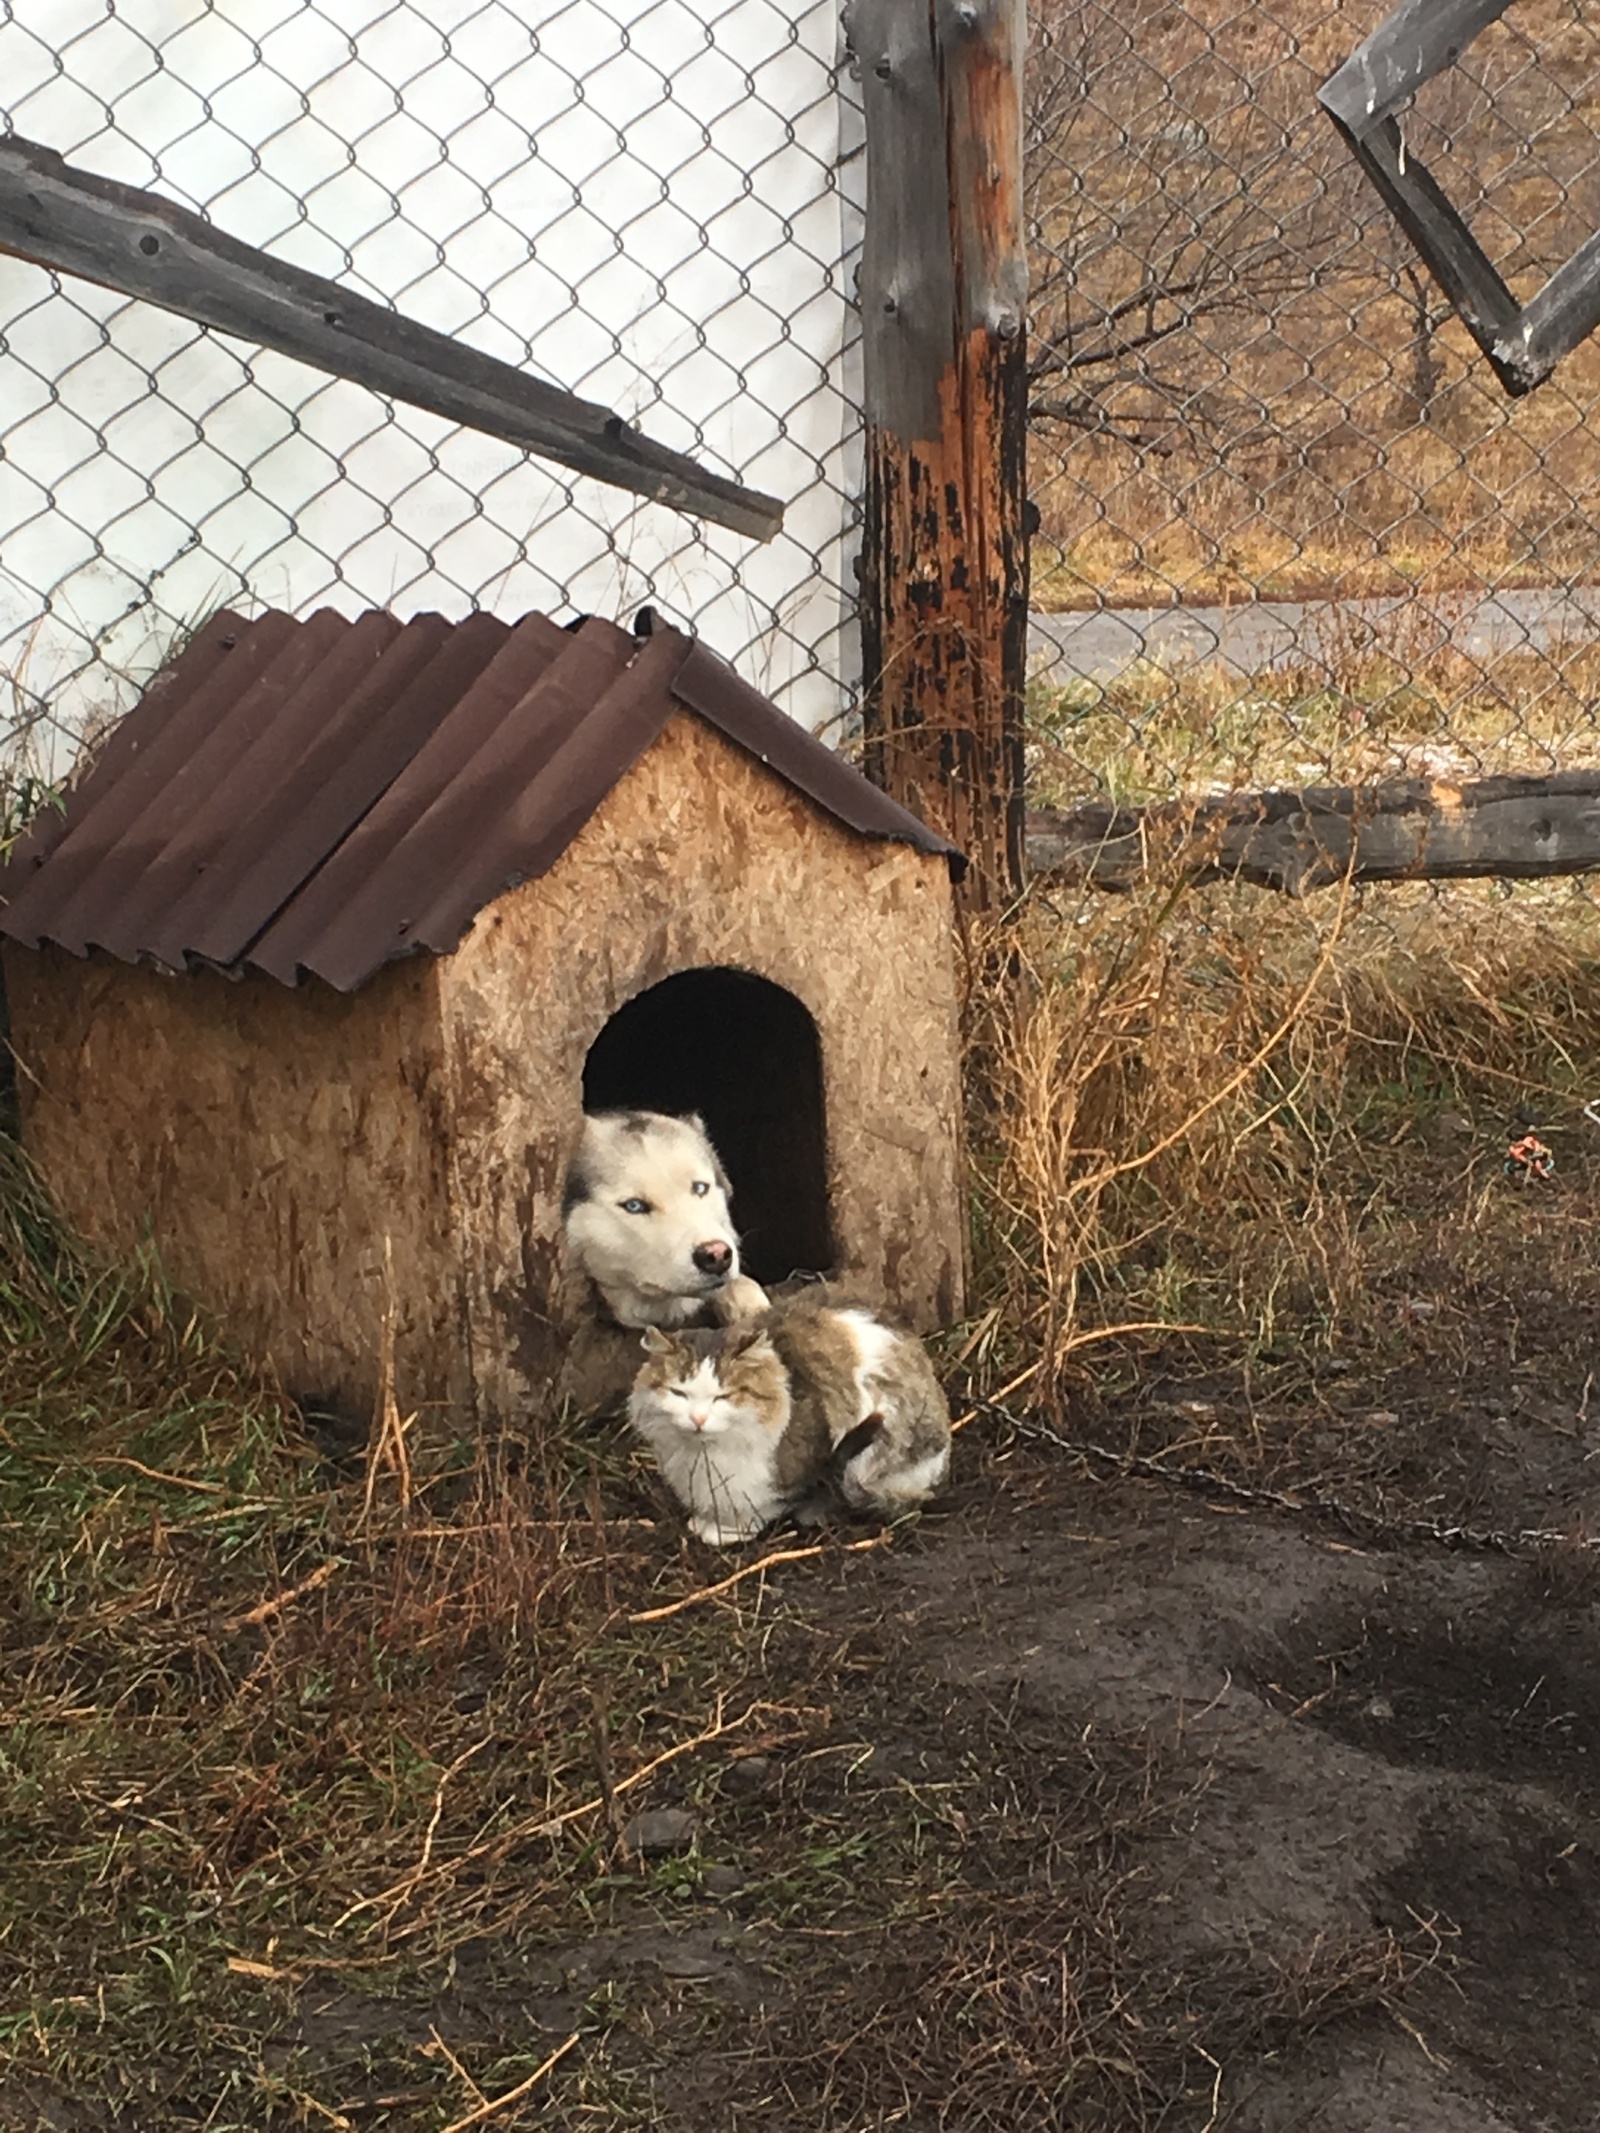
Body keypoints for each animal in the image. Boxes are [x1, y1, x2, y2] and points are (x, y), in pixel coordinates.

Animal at [627, 1288, 951, 1544]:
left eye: (724, 1397)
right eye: (679, 1393)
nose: (698, 1419)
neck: (703, 1455)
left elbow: (765, 1503)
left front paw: (725, 1530)